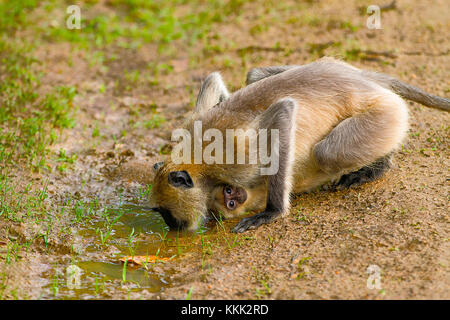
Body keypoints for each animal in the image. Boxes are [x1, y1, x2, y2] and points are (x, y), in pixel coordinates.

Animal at [152, 57, 450, 232]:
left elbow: (283, 112)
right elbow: (214, 81)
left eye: (168, 214)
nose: (173, 226)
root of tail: (366, 80)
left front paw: (272, 212)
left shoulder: (236, 162)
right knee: (254, 74)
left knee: (328, 153)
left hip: (386, 112)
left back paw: (380, 165)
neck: (197, 160)